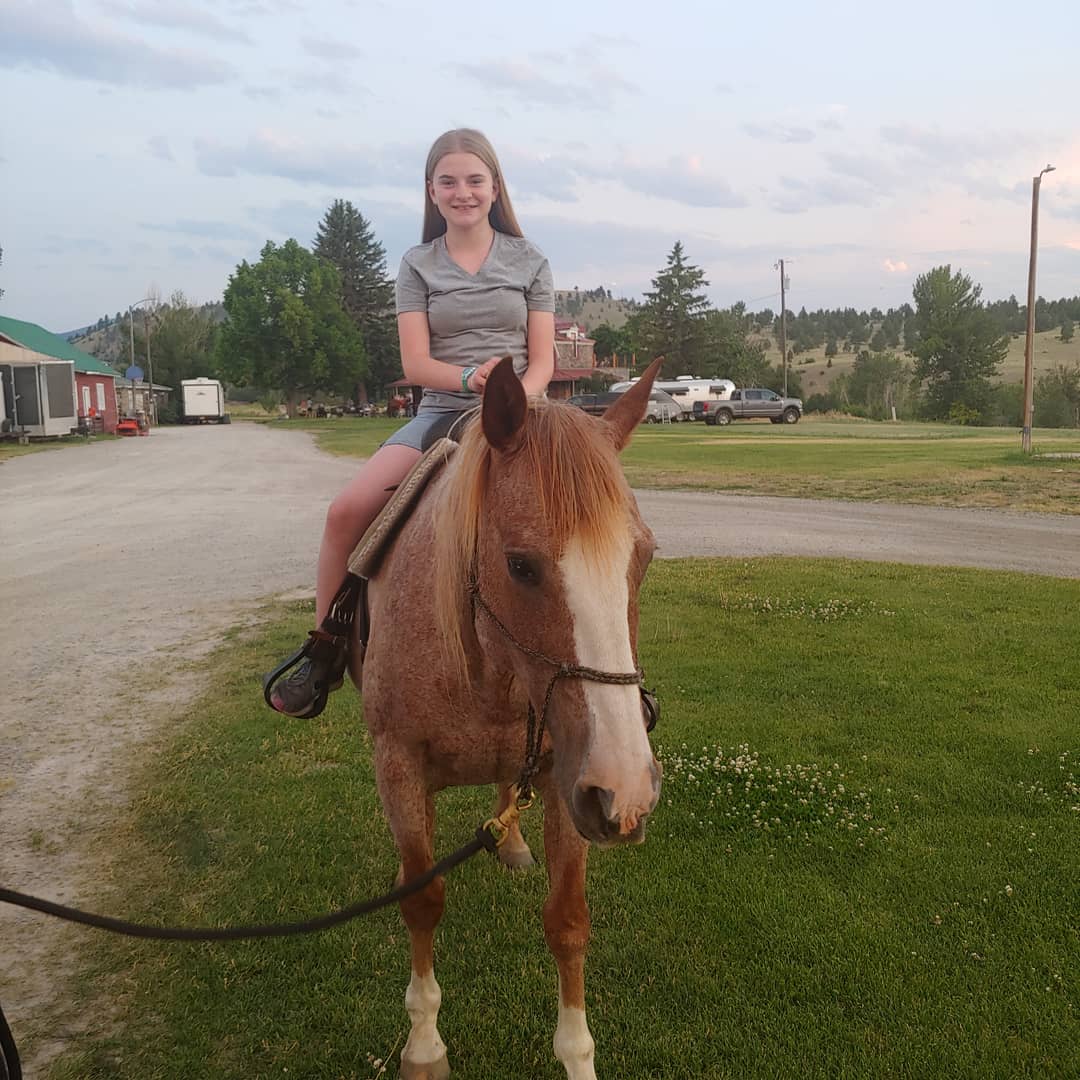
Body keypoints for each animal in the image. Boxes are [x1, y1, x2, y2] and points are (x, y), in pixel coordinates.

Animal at [356, 357, 663, 1079]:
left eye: (644, 557)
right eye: (520, 566)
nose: (630, 790)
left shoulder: (569, 778)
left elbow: (568, 919)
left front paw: (578, 1057)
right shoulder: (398, 766)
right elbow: (422, 900)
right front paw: (424, 1046)